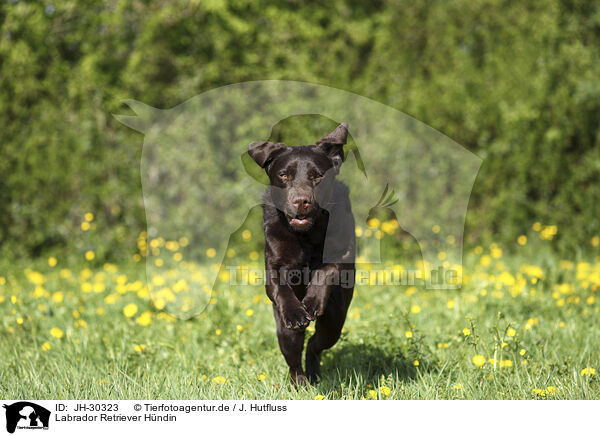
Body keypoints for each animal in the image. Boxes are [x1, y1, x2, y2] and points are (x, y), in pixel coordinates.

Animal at [248, 122, 356, 384]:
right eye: (284, 175)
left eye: (317, 176)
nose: (301, 201)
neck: (306, 235)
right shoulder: (274, 266)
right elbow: (281, 287)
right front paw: (296, 311)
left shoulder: (344, 254)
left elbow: (326, 269)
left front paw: (312, 301)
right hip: (285, 333)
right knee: (294, 357)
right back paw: (300, 384)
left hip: (334, 320)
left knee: (315, 345)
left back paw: (314, 375)